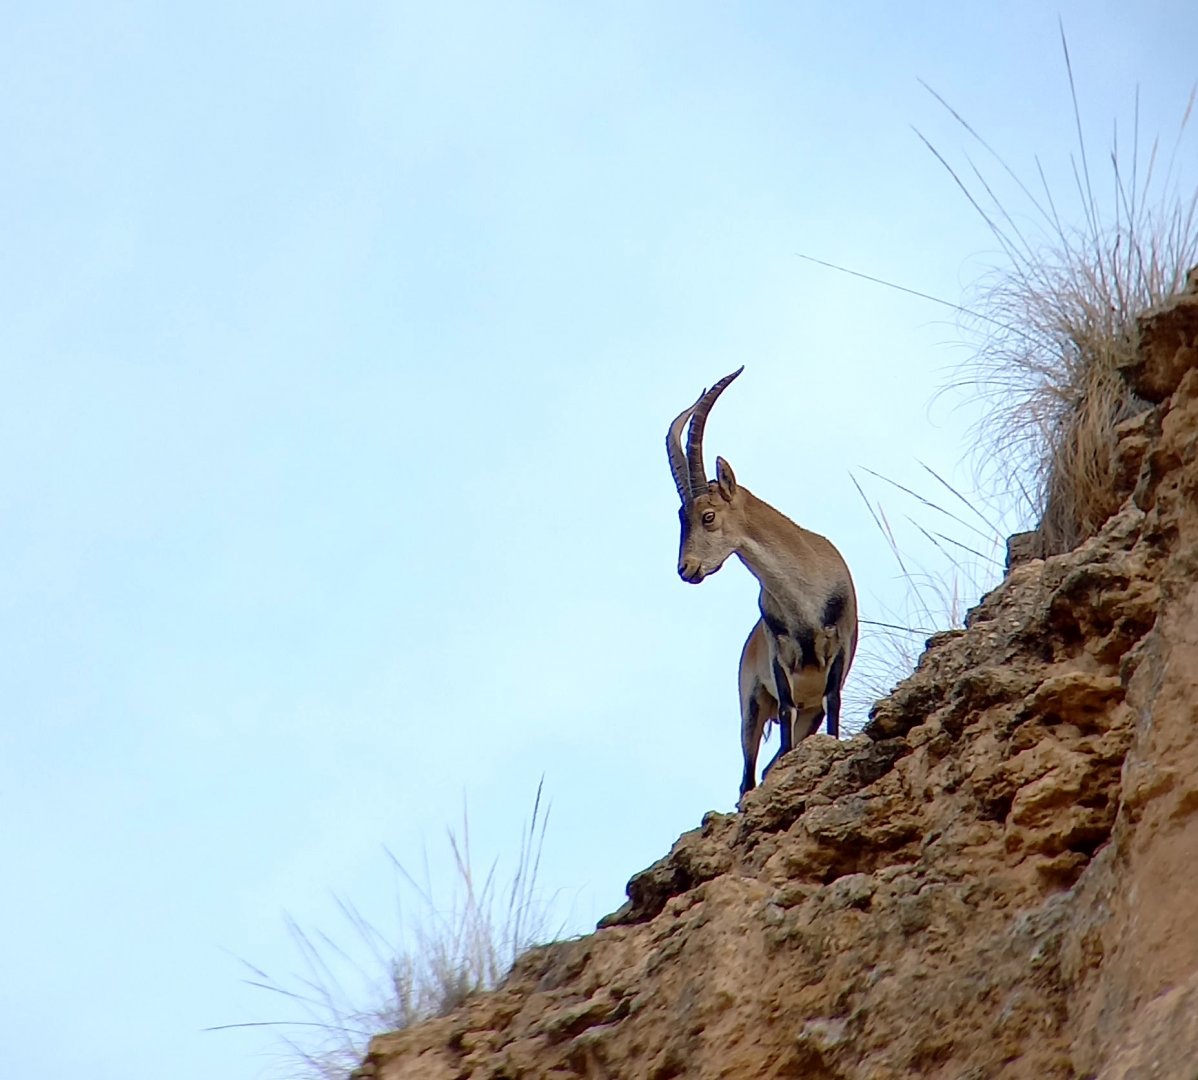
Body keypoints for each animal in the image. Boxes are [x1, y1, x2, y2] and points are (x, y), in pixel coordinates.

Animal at [666, 366, 858, 798]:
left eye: (707, 516)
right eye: (682, 518)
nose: (687, 569)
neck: (805, 598)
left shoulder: (838, 647)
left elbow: (835, 702)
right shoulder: (778, 658)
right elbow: (784, 713)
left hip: (807, 713)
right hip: (751, 707)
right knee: (748, 776)